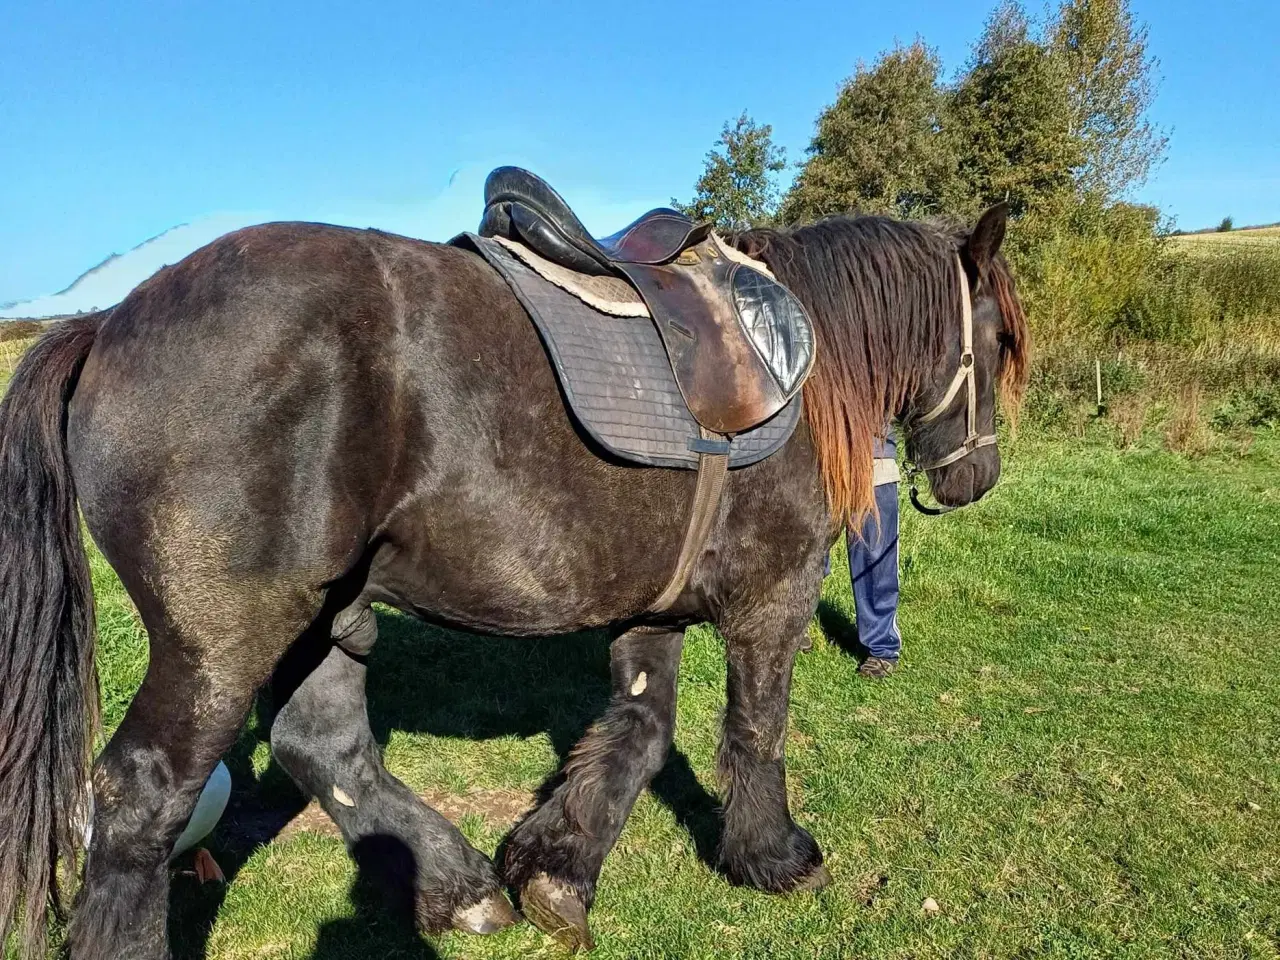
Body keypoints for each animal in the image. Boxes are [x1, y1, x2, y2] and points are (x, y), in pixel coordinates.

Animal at [0, 200, 1024, 957]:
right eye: (999, 340)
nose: (976, 477)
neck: (794, 360)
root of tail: (107, 322)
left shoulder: (651, 609)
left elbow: (638, 734)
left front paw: (556, 870)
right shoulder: (775, 593)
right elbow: (756, 729)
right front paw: (772, 856)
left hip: (322, 618)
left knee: (325, 748)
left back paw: (457, 887)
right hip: (222, 644)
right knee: (140, 801)